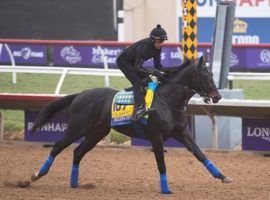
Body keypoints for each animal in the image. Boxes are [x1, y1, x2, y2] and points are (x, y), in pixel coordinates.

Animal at [29, 57, 232, 195]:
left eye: (211, 74)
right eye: (203, 75)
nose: (217, 97)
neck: (168, 101)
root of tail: (79, 95)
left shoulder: (182, 133)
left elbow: (200, 155)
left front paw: (222, 176)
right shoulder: (156, 135)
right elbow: (161, 163)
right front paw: (165, 189)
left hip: (97, 132)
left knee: (78, 152)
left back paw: (74, 183)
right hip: (77, 128)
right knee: (57, 147)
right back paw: (37, 174)